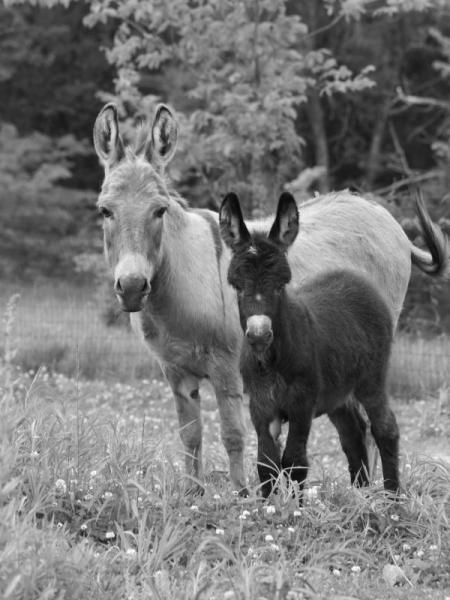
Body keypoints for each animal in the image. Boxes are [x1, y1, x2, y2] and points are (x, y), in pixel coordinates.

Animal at [220, 191, 400, 496]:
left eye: (281, 285)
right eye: (237, 286)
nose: (259, 335)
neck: (272, 361)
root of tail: (356, 277)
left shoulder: (301, 402)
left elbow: (294, 461)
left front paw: (295, 506)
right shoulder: (260, 405)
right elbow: (266, 463)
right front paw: (270, 506)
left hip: (371, 380)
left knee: (385, 428)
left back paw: (392, 499)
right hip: (338, 394)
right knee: (353, 434)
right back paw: (360, 495)